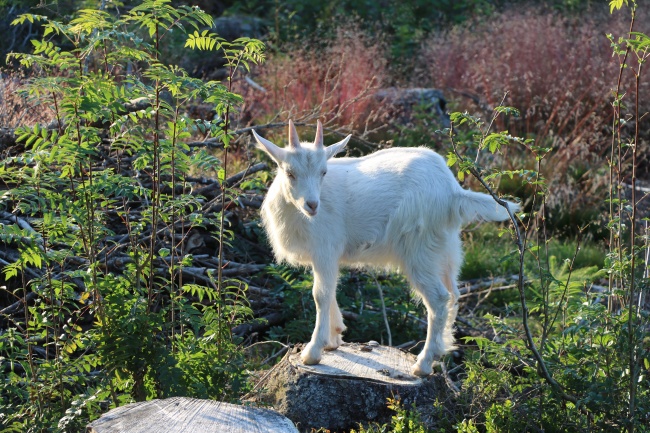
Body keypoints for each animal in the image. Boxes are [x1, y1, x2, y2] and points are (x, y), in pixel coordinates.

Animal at [251, 119, 520, 374]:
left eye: (323, 172)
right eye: (290, 173)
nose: (312, 205)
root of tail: (453, 191)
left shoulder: (325, 249)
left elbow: (321, 294)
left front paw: (313, 352)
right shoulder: (327, 256)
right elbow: (330, 291)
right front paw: (334, 338)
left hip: (419, 250)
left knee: (439, 299)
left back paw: (423, 363)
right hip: (447, 249)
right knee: (453, 293)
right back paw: (441, 350)